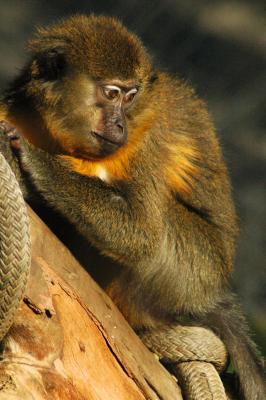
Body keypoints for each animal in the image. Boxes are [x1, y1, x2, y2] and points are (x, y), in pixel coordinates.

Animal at [0, 14, 264, 398]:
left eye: (130, 97)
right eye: (111, 94)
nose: (120, 123)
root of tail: (211, 290)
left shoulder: (145, 135)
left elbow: (140, 234)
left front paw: (35, 163)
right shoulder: (16, 106)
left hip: (192, 270)